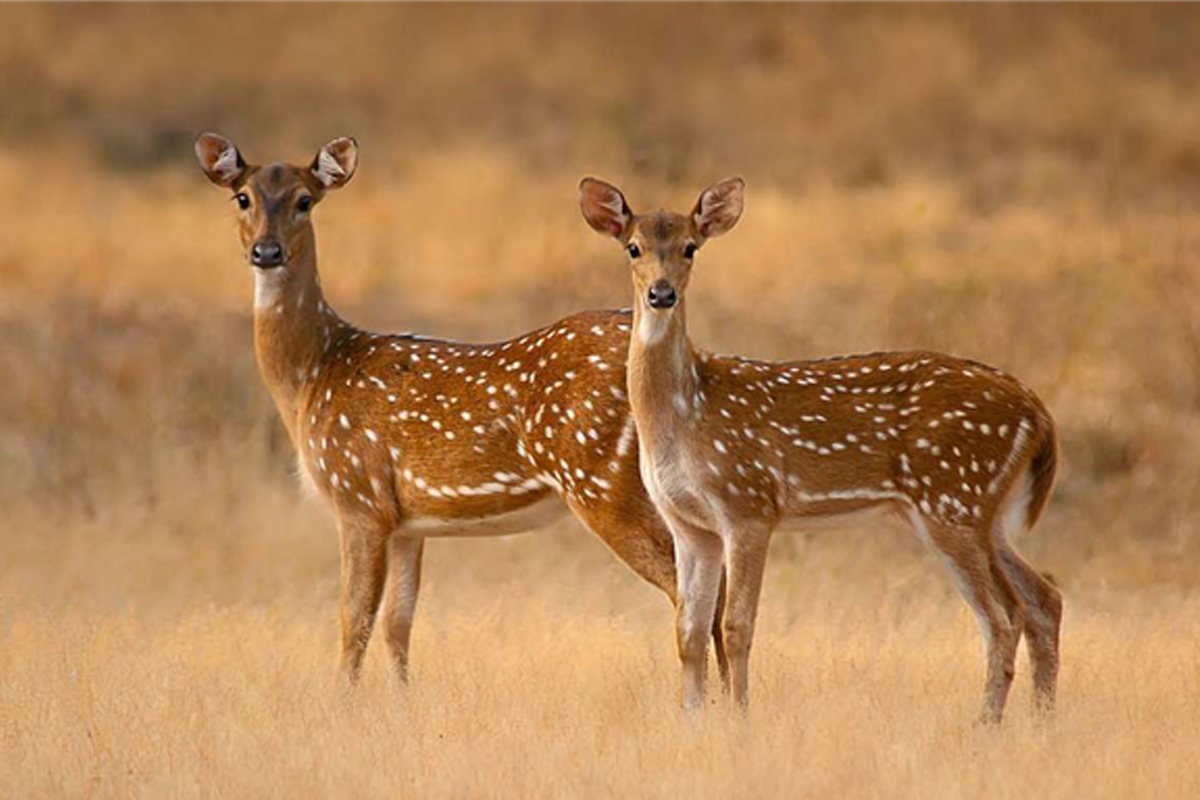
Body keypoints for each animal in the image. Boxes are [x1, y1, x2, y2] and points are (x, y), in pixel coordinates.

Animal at [193, 134, 729, 690]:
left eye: (304, 200)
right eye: (242, 197)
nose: (266, 251)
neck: (314, 376)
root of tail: (697, 363)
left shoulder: (359, 496)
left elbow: (353, 622)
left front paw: (342, 702)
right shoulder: (407, 523)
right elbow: (398, 623)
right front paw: (401, 701)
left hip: (602, 479)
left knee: (691, 594)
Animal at [580, 176, 1060, 724]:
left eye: (690, 247)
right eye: (633, 248)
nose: (662, 294)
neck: (684, 415)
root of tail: (1037, 412)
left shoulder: (750, 504)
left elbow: (737, 626)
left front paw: (741, 720)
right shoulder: (689, 524)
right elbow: (689, 632)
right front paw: (693, 721)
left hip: (953, 496)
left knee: (1002, 615)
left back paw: (985, 725)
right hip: (980, 512)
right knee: (1043, 597)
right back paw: (1042, 721)